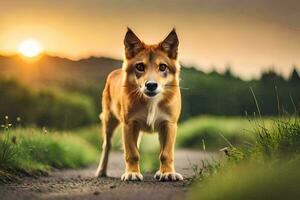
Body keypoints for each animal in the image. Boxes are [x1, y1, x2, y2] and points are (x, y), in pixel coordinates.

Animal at [95, 27, 183, 181]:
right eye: (140, 66)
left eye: (162, 67)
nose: (151, 85)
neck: (151, 102)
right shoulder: (130, 124)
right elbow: (132, 153)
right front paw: (132, 173)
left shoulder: (169, 124)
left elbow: (166, 153)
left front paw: (167, 173)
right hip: (109, 120)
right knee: (107, 145)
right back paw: (101, 171)